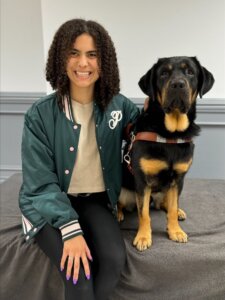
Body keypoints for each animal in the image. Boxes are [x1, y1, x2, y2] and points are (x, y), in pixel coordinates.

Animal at [118, 55, 214, 251]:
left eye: (190, 72)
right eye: (163, 74)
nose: (178, 84)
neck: (171, 134)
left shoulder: (178, 179)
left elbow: (171, 207)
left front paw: (175, 230)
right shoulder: (142, 181)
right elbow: (144, 213)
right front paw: (143, 237)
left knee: (166, 204)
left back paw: (178, 212)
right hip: (123, 192)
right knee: (123, 204)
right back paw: (118, 213)